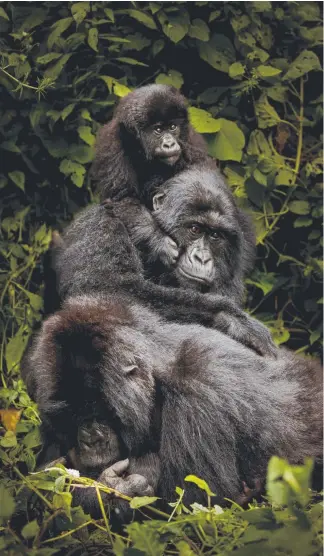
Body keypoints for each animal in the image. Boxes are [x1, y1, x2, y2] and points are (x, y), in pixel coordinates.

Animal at [24, 296, 322, 516]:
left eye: (96, 408)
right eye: (71, 414)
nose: (90, 438)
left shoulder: (198, 388)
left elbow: (194, 503)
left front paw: (109, 490)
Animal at [92, 83, 211, 268]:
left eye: (172, 127)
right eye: (158, 130)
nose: (169, 144)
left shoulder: (192, 143)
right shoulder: (113, 144)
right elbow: (123, 197)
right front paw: (158, 241)